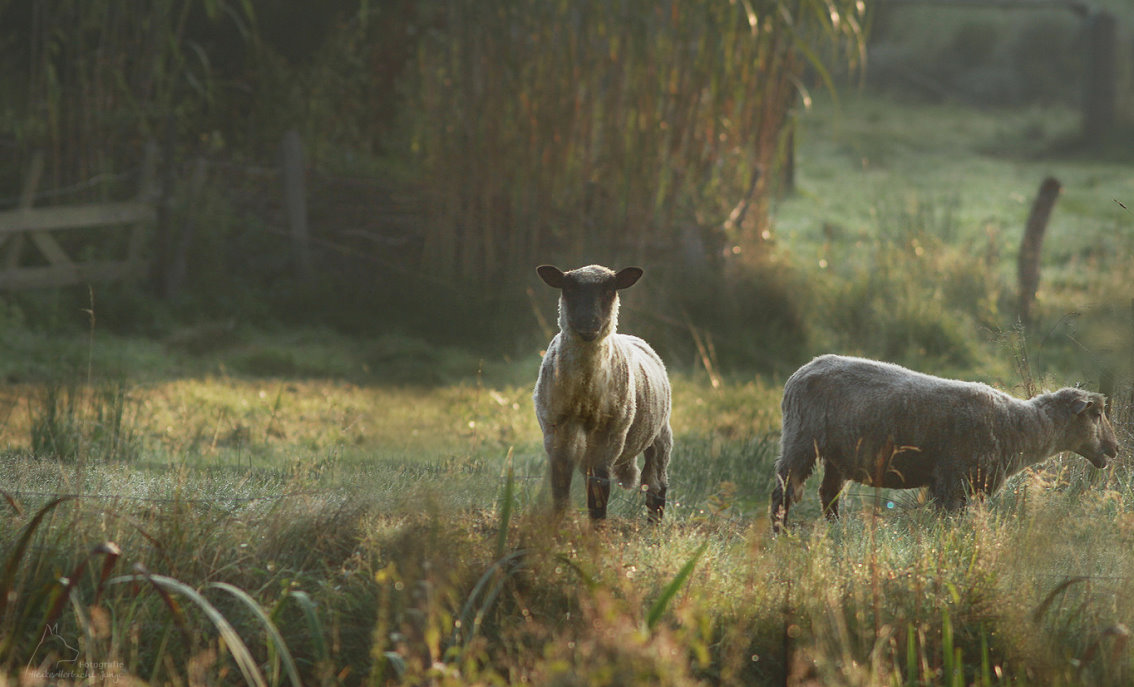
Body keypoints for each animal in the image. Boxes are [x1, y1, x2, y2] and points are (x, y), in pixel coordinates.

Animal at [530, 265, 671, 521]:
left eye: (609, 290)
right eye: (568, 288)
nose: (588, 323)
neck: (584, 390)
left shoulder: (610, 434)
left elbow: (599, 486)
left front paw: (598, 525)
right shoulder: (556, 431)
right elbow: (560, 482)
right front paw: (559, 521)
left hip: (661, 435)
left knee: (656, 487)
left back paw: (654, 524)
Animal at [771, 355, 1115, 532]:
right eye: (1096, 414)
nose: (1115, 449)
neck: (1018, 425)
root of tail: (803, 370)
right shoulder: (952, 482)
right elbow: (948, 523)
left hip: (836, 455)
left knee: (827, 493)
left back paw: (835, 532)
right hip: (800, 440)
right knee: (783, 491)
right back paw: (781, 534)